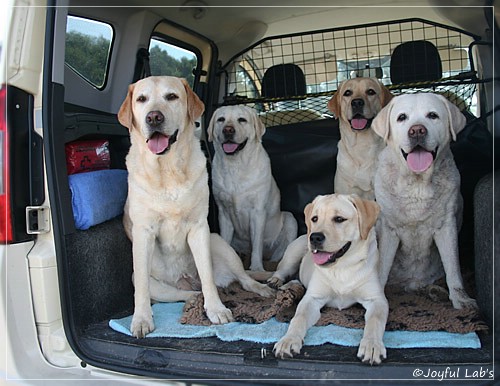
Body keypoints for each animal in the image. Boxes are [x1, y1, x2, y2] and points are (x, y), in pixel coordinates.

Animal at [117, 76, 274, 338]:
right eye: (141, 99)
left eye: (172, 96)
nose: (153, 117)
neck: (168, 170)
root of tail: (187, 279)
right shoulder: (143, 232)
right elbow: (141, 289)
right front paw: (141, 319)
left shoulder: (200, 228)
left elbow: (207, 275)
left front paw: (216, 310)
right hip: (153, 283)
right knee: (184, 293)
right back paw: (193, 296)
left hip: (219, 243)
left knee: (242, 278)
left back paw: (261, 289)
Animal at [207, 104, 296, 270]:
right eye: (221, 119)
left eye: (242, 120)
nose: (228, 130)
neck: (236, 166)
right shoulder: (224, 213)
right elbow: (225, 241)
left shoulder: (257, 212)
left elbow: (257, 244)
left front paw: (256, 267)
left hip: (290, 220)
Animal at [268, 193, 388, 364]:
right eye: (315, 218)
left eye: (339, 219)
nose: (314, 237)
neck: (342, 267)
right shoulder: (312, 298)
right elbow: (299, 317)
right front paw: (288, 340)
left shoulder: (377, 299)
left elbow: (375, 321)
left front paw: (372, 345)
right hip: (294, 253)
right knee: (283, 270)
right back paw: (277, 283)